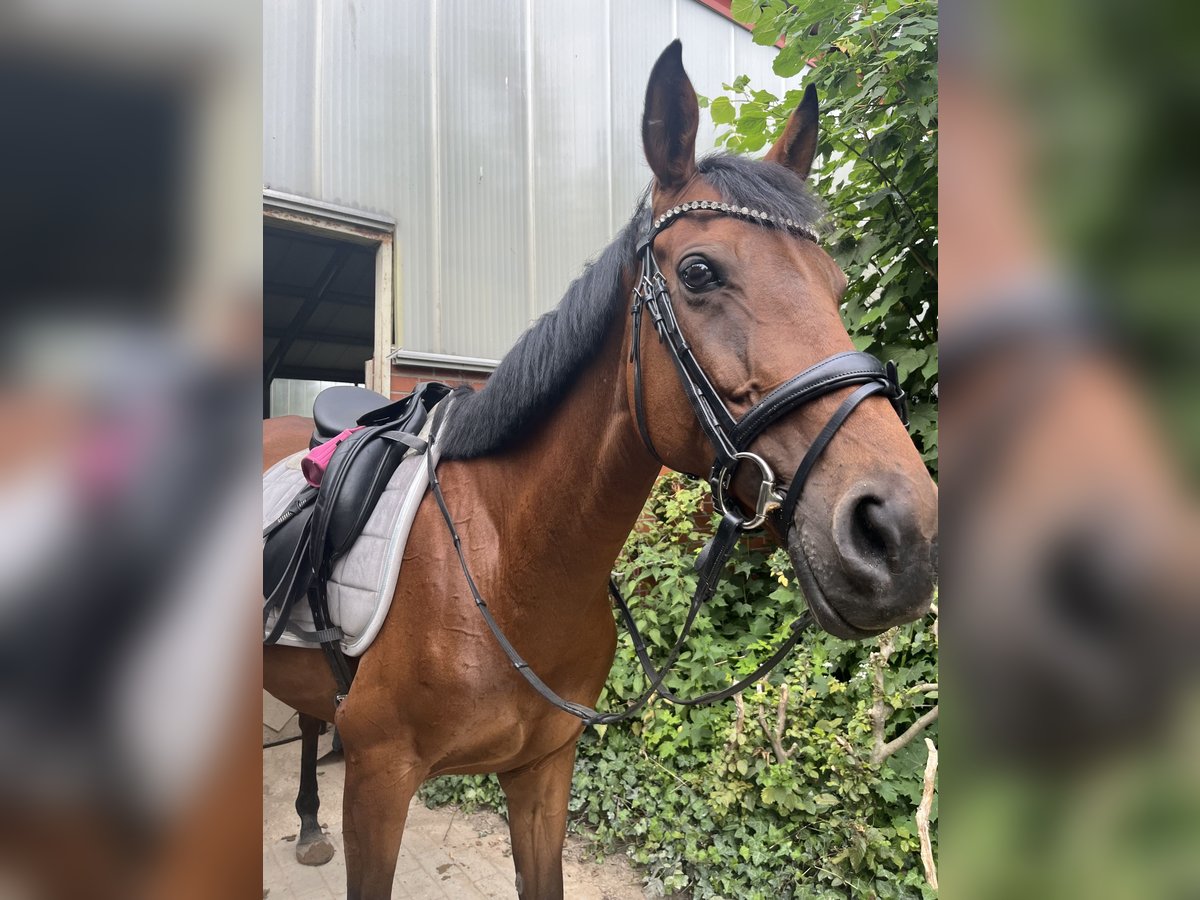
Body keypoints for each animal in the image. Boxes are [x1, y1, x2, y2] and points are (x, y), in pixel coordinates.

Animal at [262, 44, 936, 900]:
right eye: (699, 272)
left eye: (839, 287)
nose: (901, 532)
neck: (504, 563)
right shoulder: (380, 783)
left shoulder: (545, 770)